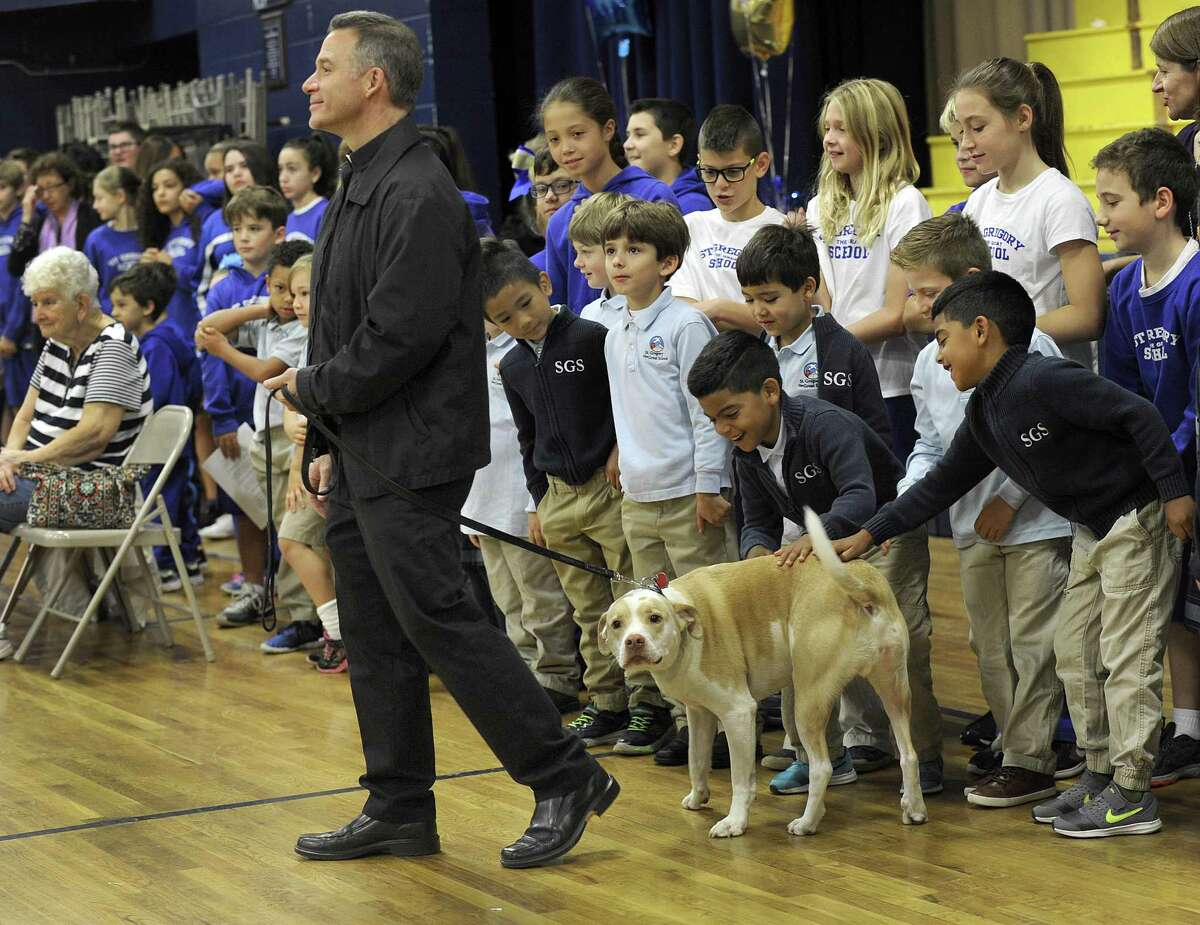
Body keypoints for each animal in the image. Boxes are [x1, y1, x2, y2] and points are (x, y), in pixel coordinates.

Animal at [600, 506, 926, 839]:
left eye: (655, 618)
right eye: (616, 624)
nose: (634, 641)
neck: (685, 627)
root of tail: (863, 589)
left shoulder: (738, 712)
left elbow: (740, 779)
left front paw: (735, 822)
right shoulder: (699, 712)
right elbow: (696, 760)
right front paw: (698, 797)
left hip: (808, 700)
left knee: (822, 767)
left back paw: (807, 823)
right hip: (894, 690)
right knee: (909, 753)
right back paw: (914, 809)